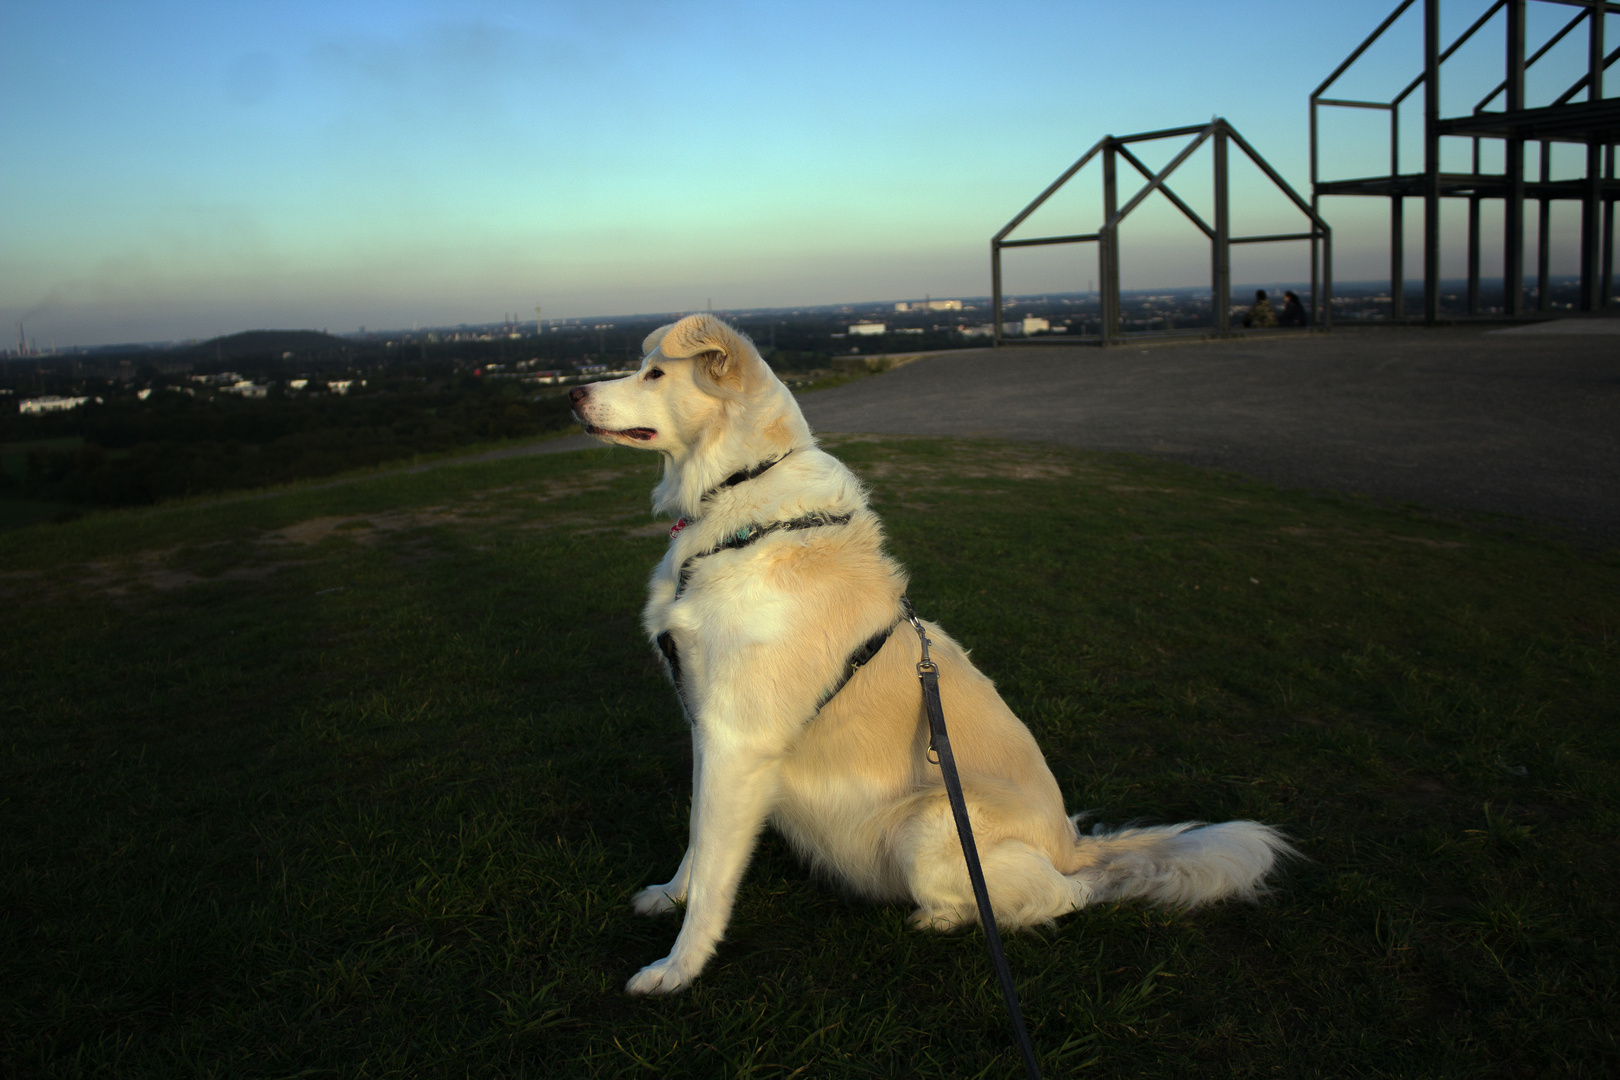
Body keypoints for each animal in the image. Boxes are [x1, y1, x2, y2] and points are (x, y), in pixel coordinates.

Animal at [570, 312, 1289, 997]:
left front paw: (676, 969)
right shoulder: (708, 730)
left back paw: (938, 917)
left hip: (926, 824)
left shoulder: (738, 741)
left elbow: (717, 869)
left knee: (1060, 897)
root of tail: (1072, 842)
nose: (573, 394)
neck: (738, 504)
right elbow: (696, 842)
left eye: (655, 374)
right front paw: (669, 897)